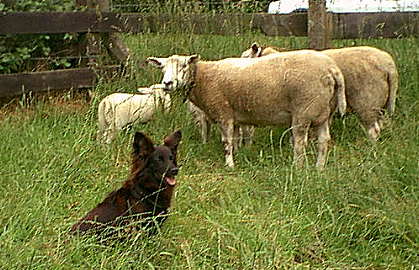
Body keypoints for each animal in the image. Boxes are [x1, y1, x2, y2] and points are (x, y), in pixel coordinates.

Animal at [148, 51, 348, 168]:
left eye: (183, 66)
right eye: (162, 68)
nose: (167, 83)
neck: (203, 77)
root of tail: (332, 69)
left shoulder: (223, 113)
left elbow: (227, 142)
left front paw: (229, 164)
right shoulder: (235, 116)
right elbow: (235, 139)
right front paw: (237, 155)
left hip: (304, 111)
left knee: (300, 144)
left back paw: (297, 169)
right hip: (323, 113)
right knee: (324, 142)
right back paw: (319, 168)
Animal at [241, 43, 398, 140]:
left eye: (245, 57)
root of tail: (389, 66)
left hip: (367, 102)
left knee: (373, 130)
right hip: (380, 104)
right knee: (382, 125)